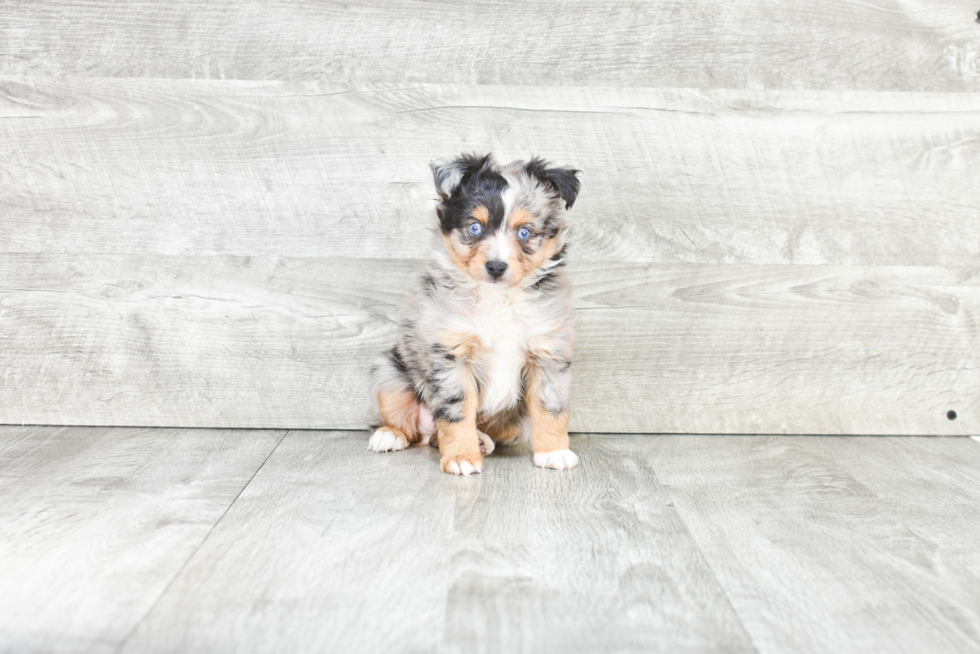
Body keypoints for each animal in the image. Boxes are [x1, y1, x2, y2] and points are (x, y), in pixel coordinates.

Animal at [368, 152, 580, 476]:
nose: (496, 266)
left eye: (524, 232)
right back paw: (390, 435)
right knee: (409, 423)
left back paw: (482, 441)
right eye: (475, 228)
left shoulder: (548, 351)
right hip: (390, 369)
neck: (498, 296)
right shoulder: (449, 353)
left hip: (517, 422)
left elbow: (550, 406)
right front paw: (461, 457)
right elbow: (457, 411)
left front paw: (554, 451)